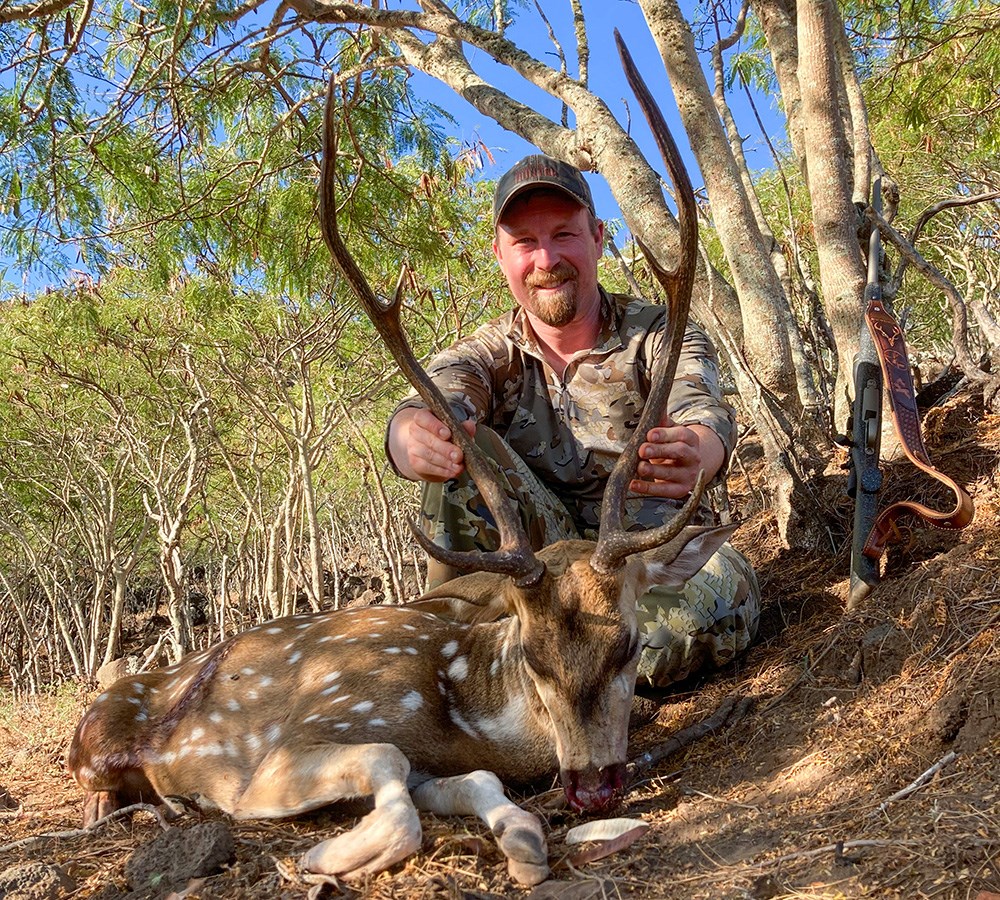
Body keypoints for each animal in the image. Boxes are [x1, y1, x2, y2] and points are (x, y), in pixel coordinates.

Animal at [66, 37, 732, 884]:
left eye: (630, 644)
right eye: (534, 657)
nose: (589, 787)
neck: (454, 700)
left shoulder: (444, 761)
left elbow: (472, 785)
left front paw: (520, 841)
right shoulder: (271, 758)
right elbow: (385, 765)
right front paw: (321, 855)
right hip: (100, 739)